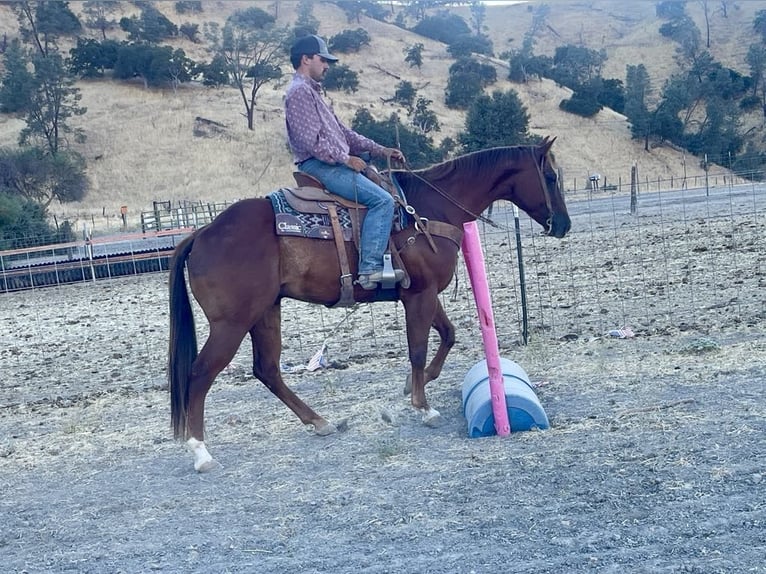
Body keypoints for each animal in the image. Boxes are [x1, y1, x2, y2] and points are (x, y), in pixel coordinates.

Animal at [171, 140, 572, 472]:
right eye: (551, 176)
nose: (563, 225)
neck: (429, 208)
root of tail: (200, 234)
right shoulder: (420, 295)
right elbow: (417, 348)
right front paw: (423, 407)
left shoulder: (422, 293)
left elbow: (448, 335)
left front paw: (411, 388)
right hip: (232, 323)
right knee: (200, 374)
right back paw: (201, 452)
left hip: (266, 312)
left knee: (267, 370)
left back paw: (320, 422)